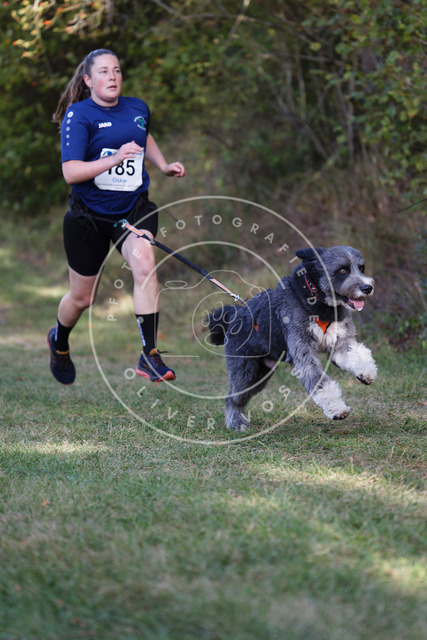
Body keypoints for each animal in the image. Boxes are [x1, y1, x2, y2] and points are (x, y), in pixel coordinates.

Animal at [208, 246, 377, 431]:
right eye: (342, 270)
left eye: (361, 268)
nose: (367, 288)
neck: (317, 301)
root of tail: (235, 314)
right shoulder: (304, 353)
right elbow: (319, 382)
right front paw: (337, 409)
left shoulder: (340, 343)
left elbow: (356, 353)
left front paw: (366, 372)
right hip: (245, 372)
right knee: (232, 398)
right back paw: (236, 424)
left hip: (260, 374)